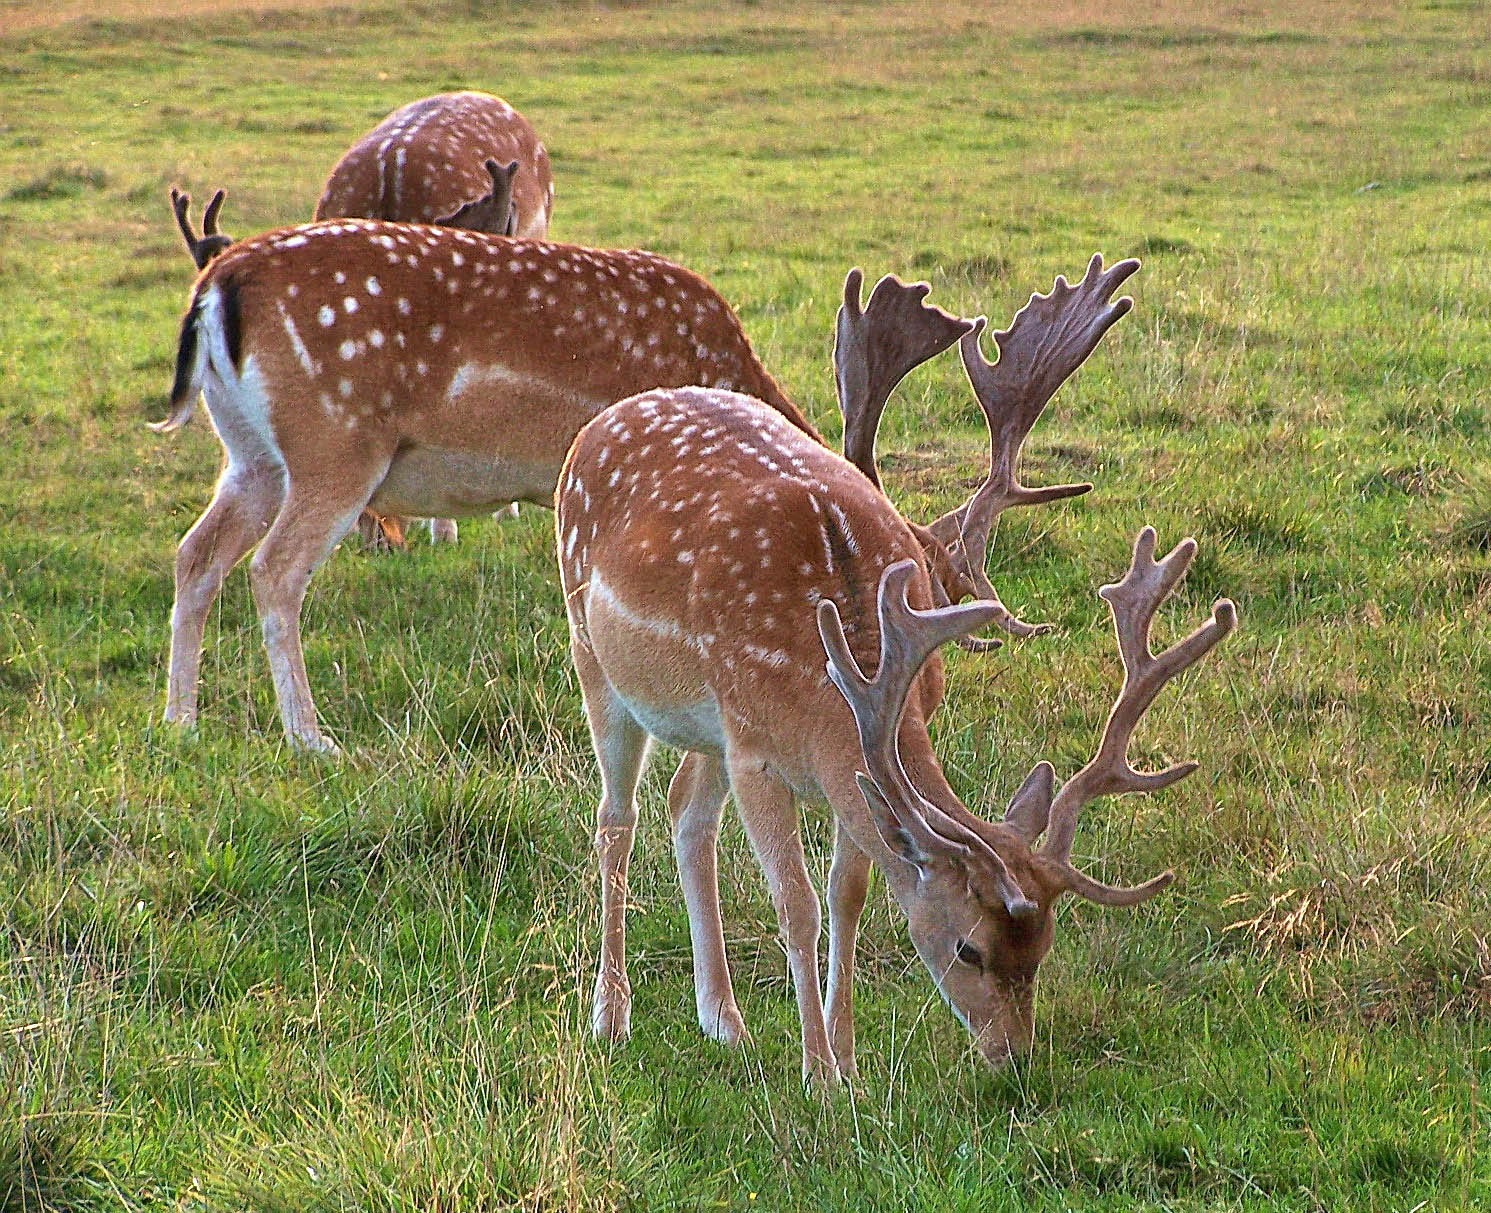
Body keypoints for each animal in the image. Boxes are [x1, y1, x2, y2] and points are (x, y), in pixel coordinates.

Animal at [557, 256, 1234, 1084]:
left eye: (1044, 946)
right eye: (968, 947)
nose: (1013, 1056)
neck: (828, 685)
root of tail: (602, 422)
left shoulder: (832, 763)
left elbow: (848, 892)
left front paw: (846, 1059)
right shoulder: (754, 751)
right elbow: (796, 902)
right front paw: (817, 1073)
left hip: (703, 717)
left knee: (687, 808)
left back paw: (723, 1019)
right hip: (593, 652)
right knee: (615, 817)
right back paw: (610, 1014)